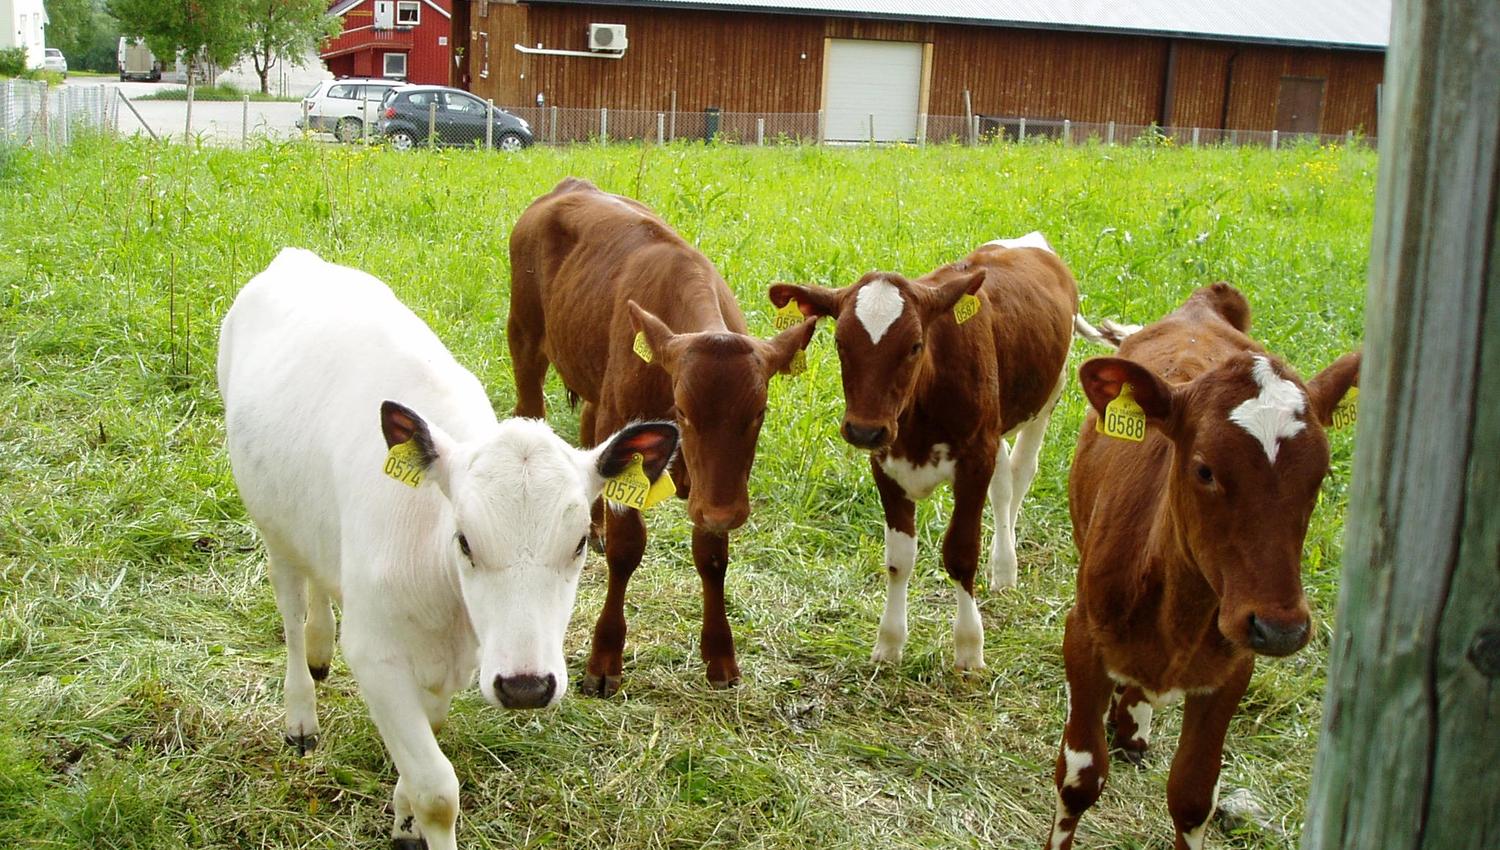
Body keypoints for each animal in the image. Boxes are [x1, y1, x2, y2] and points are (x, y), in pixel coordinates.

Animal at [218, 248, 679, 850]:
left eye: (581, 542)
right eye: (464, 540)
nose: (526, 687)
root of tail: (296, 257)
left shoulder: (457, 663)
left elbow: (422, 759)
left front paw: (403, 817)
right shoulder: (376, 654)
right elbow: (438, 789)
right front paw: (419, 814)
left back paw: (320, 647)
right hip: (271, 523)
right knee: (291, 610)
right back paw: (301, 711)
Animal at [507, 178, 818, 696]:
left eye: (759, 412)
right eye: (684, 410)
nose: (727, 511)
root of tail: (569, 185)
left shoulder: (713, 487)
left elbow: (711, 556)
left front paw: (720, 656)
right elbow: (627, 549)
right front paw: (605, 657)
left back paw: (592, 526)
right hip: (525, 340)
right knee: (530, 410)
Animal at [769, 235, 1095, 670]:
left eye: (914, 345)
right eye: (839, 342)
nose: (864, 429)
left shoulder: (974, 461)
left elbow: (961, 553)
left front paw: (969, 647)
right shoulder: (886, 464)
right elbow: (899, 559)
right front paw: (890, 642)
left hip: (1046, 399)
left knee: (1021, 472)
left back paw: (1005, 567)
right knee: (1003, 485)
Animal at [1046, 282, 1360, 850]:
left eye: (1322, 474)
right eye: (1205, 469)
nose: (1280, 627)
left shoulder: (1233, 668)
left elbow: (1194, 794)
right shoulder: (1082, 634)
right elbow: (1079, 775)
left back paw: (1133, 723)